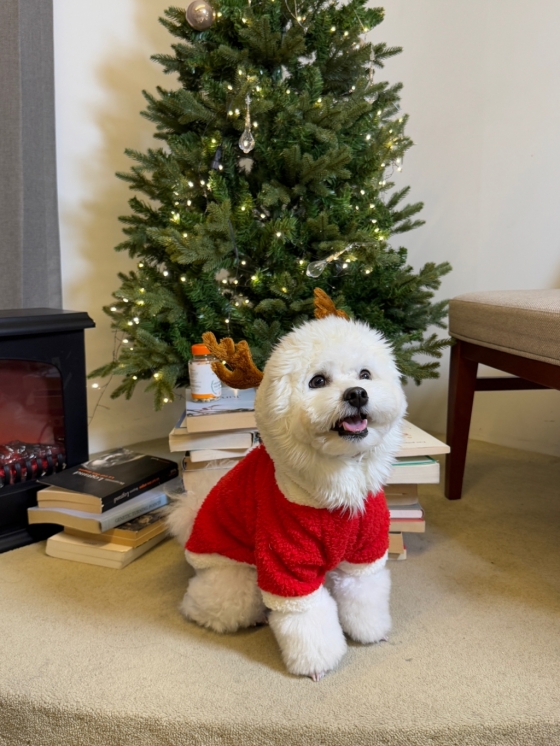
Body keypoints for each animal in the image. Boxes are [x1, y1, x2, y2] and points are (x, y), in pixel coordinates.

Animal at [166, 298, 406, 680]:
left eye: (365, 374)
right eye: (318, 381)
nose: (356, 394)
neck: (339, 484)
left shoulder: (365, 550)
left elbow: (363, 591)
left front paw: (370, 631)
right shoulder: (285, 563)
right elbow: (306, 616)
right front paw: (317, 663)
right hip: (236, 580)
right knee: (212, 605)